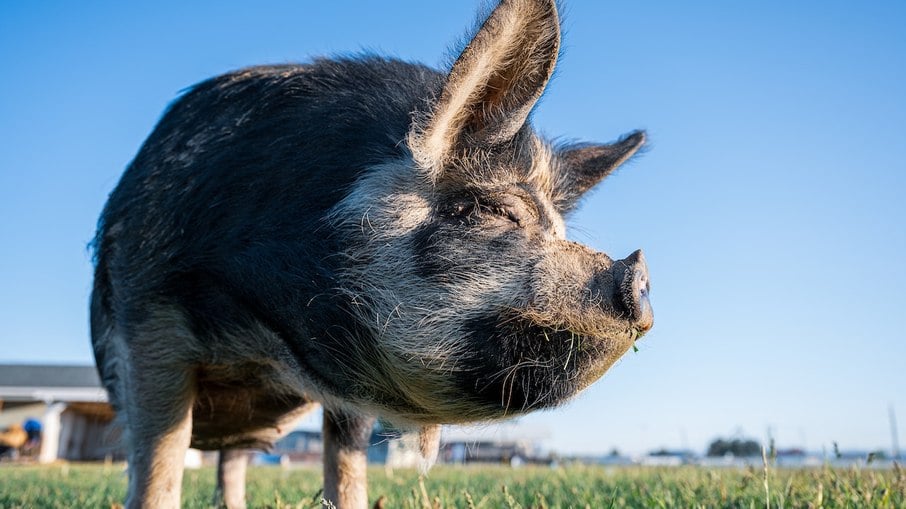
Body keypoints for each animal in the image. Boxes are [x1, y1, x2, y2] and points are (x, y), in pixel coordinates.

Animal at [90, 0, 648, 508]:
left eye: (558, 228)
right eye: (498, 211)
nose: (638, 275)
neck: (269, 343)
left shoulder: (348, 394)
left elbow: (347, 465)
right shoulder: (147, 319)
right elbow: (159, 460)